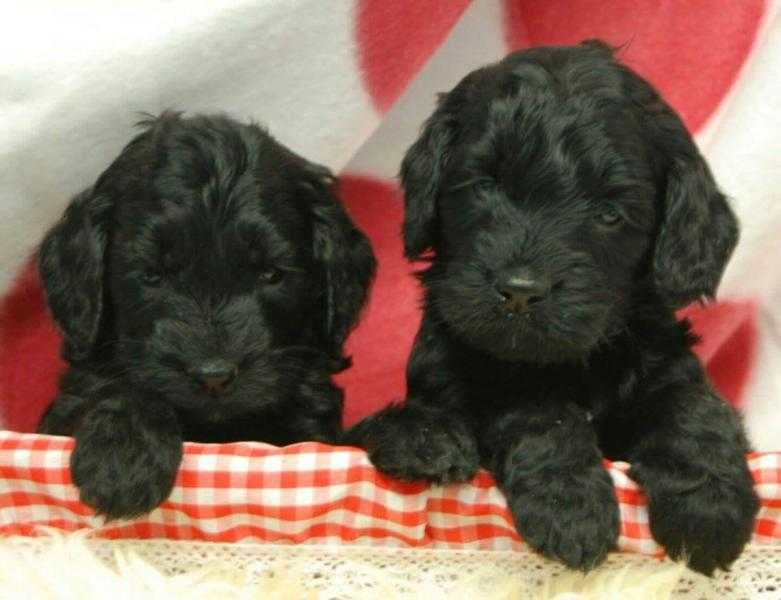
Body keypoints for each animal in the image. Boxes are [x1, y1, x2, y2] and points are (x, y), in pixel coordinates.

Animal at [348, 39, 760, 576]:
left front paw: (708, 506)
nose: (521, 290)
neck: (569, 364)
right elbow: (534, 410)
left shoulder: (665, 359)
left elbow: (693, 404)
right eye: (485, 187)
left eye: (609, 213)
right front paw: (572, 508)